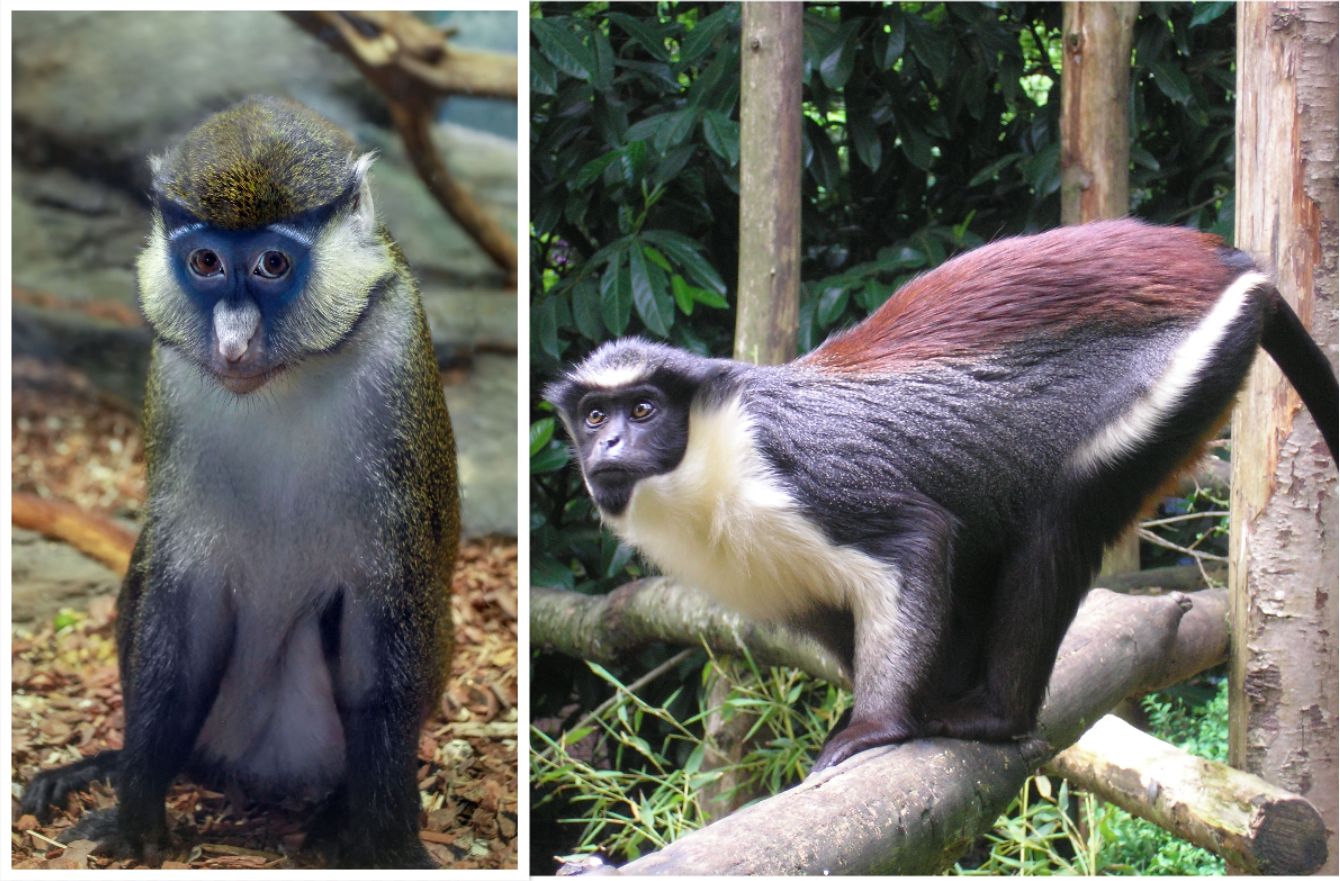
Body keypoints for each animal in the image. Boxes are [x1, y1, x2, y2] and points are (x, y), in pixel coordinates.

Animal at [18, 96, 459, 868]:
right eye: (205, 261)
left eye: (272, 263)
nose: (231, 343)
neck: (287, 377)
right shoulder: (172, 375)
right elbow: (182, 605)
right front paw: (134, 810)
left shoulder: (396, 349)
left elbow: (386, 612)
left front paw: (388, 841)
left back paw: (335, 812)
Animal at [546, 219, 1339, 775]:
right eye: (594, 417)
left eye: (643, 410)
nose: (608, 450)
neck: (707, 463)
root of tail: (1228, 263)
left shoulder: (796, 475)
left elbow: (917, 538)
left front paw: (877, 726)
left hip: (1184, 370)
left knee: (1060, 520)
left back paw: (997, 715)